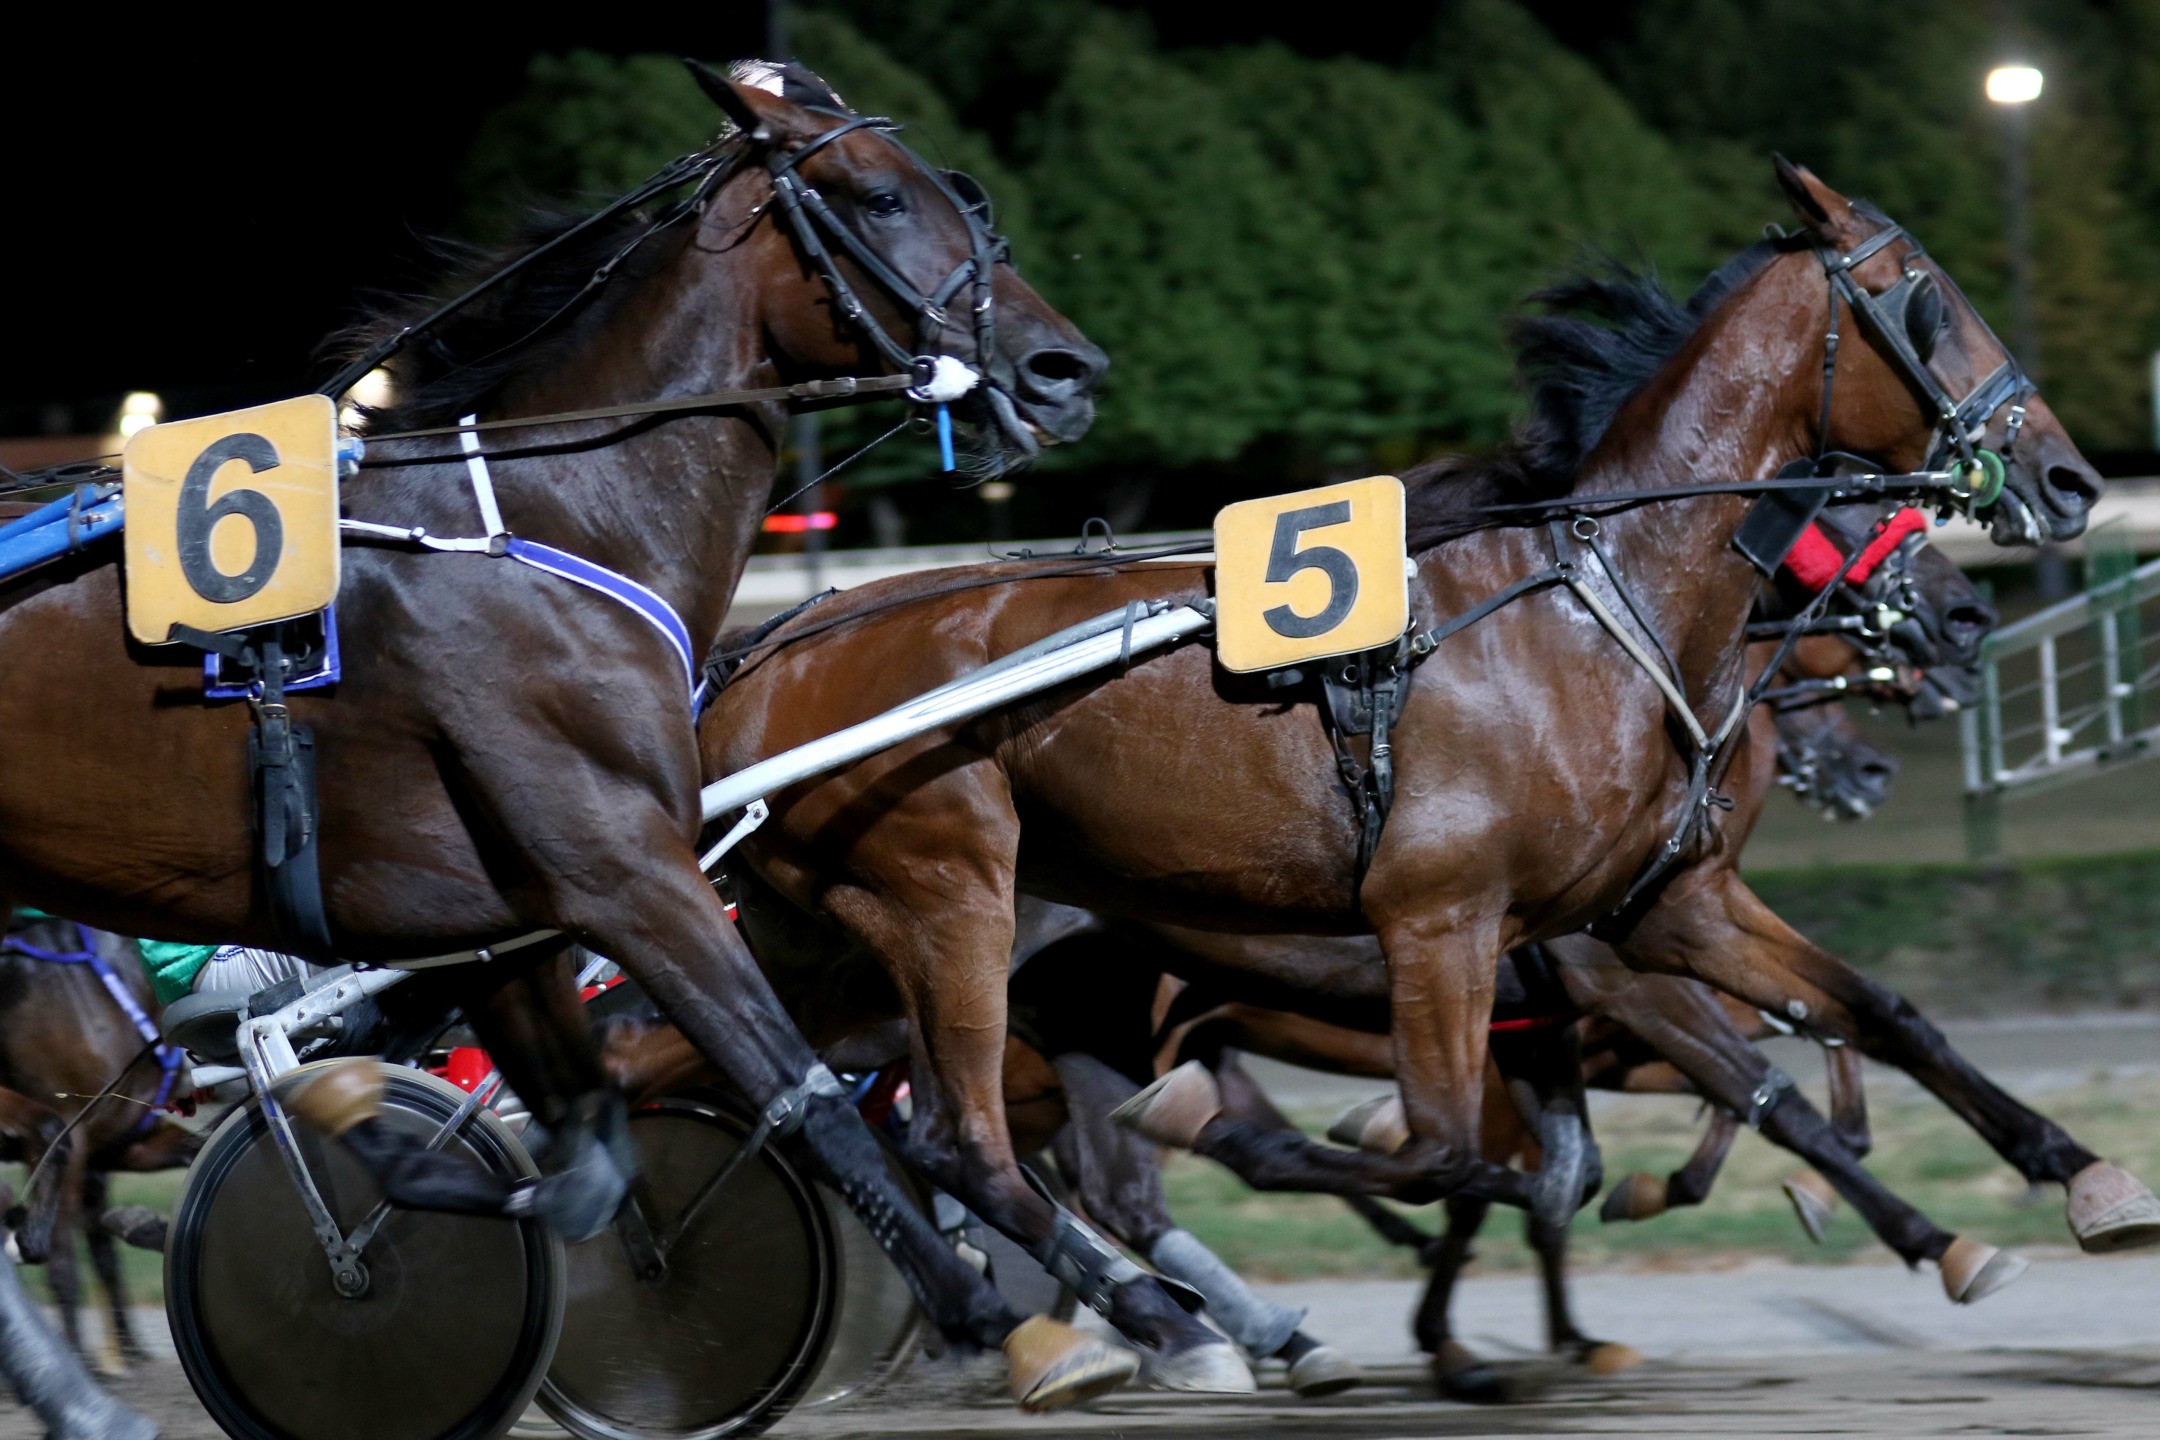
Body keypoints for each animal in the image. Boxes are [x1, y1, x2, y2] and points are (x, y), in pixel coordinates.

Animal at [0, 64, 1166, 1407]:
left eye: (963, 196)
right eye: (878, 195)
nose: (1065, 368)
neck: (547, 525)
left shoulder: (501, 921)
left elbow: (588, 1155)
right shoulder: (623, 869)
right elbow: (798, 1090)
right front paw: (1001, 1315)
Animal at [695, 160, 2142, 1321]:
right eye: (1926, 299)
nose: (2067, 481)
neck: (1594, 607)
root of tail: (760, 659)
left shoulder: (1657, 908)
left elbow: (1876, 1018)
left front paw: (2080, 1178)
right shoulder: (1458, 925)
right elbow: (1463, 1144)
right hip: (945, 895)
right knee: (956, 1141)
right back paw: (1142, 1317)